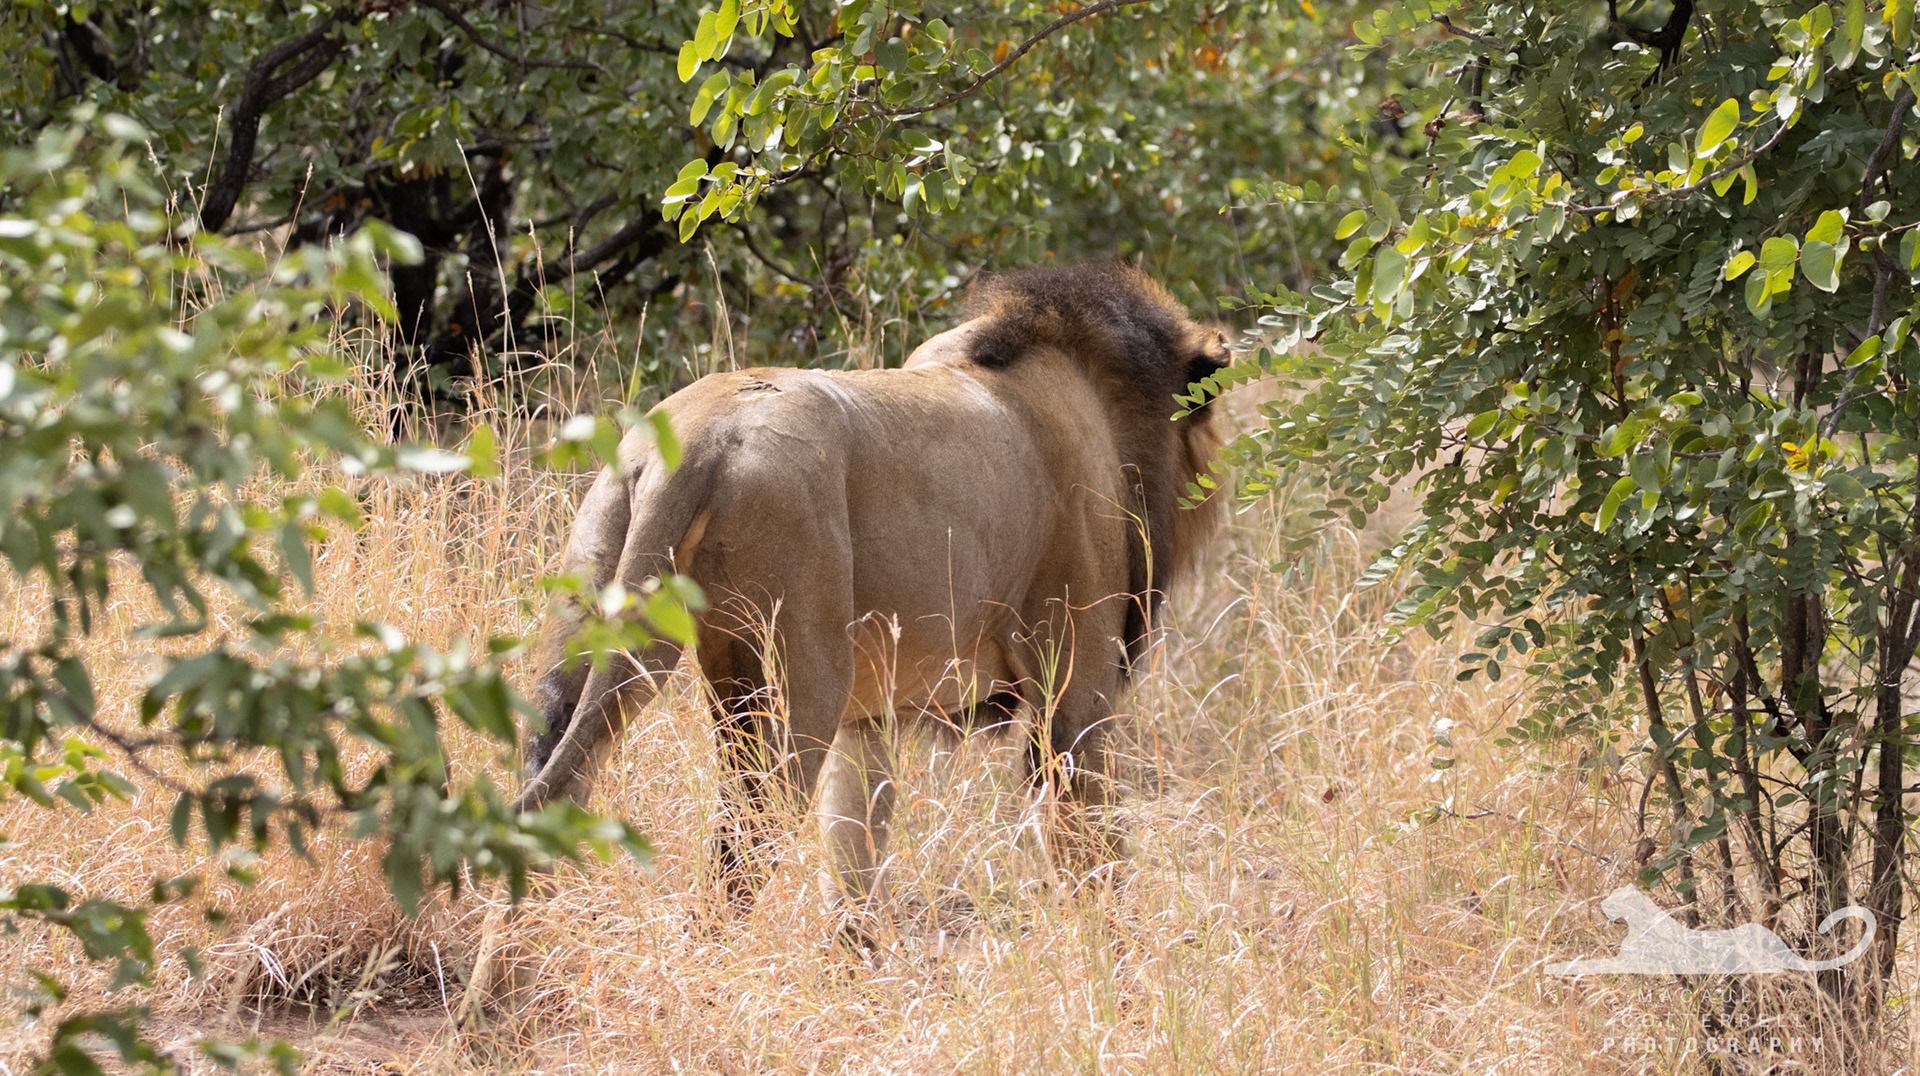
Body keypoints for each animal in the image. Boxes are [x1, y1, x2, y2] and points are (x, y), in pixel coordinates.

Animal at [514, 263, 1228, 933]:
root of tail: (694, 445)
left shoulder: (872, 713)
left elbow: (853, 853)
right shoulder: (1074, 682)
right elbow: (1091, 849)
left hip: (593, 617)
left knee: (551, 787)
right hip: (801, 677)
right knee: (741, 845)